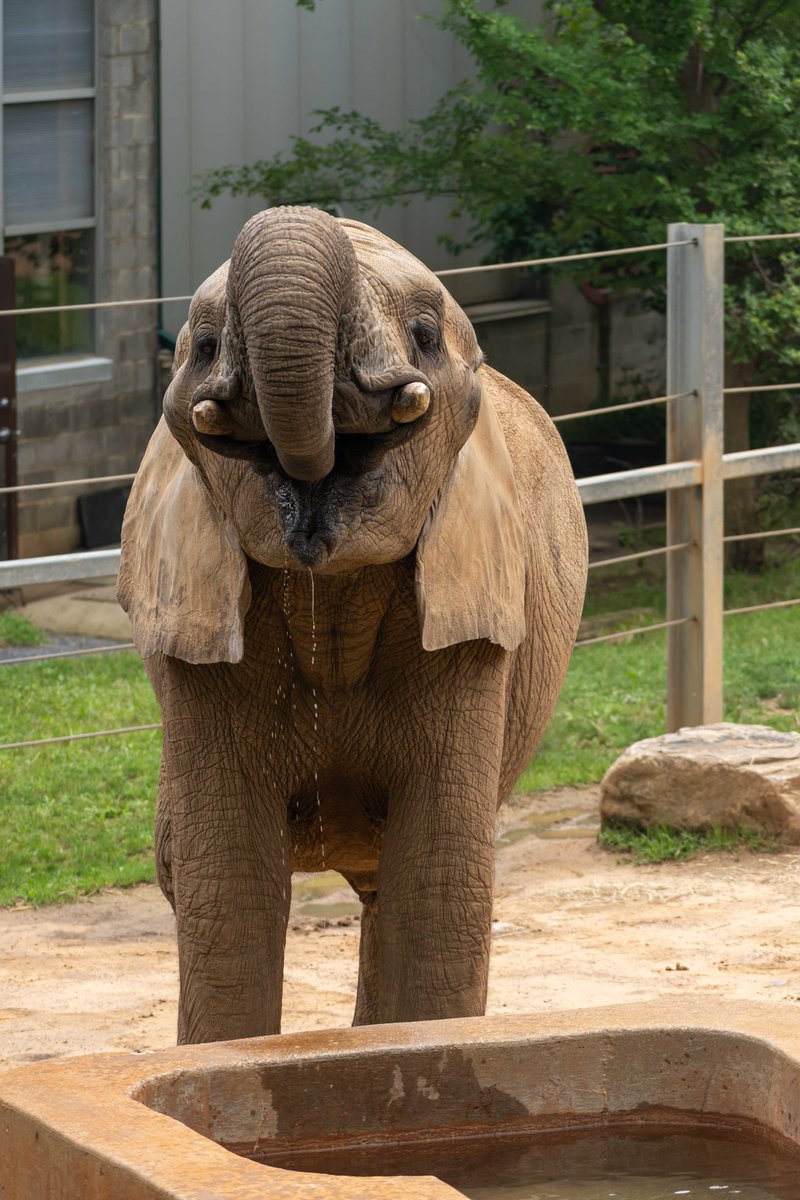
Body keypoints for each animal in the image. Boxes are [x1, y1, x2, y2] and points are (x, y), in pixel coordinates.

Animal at [118, 206, 592, 1041]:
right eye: (203, 347)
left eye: (426, 335)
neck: (330, 586)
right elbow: (229, 888)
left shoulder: (474, 623)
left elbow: (439, 886)